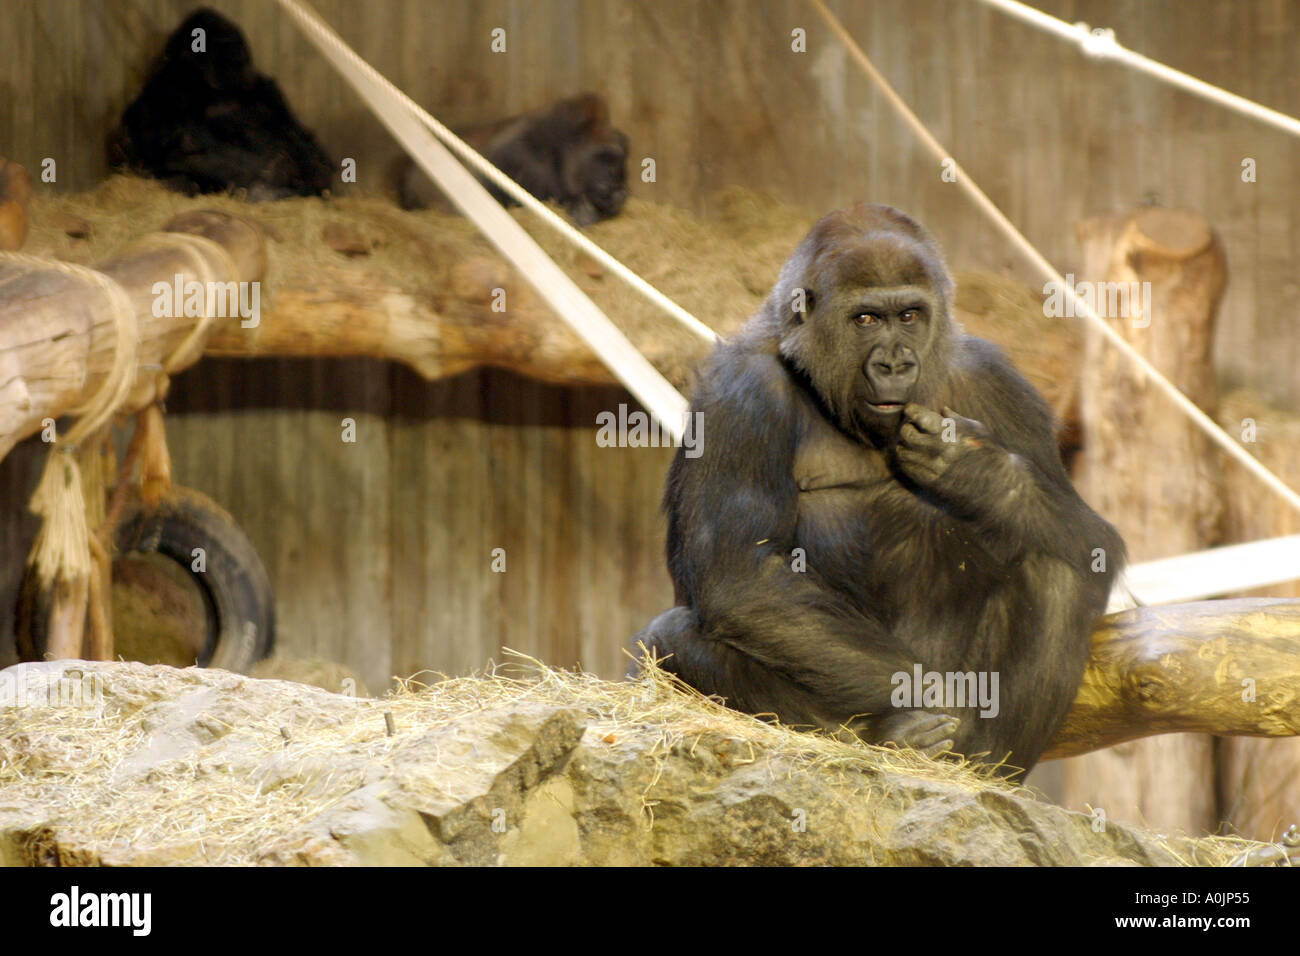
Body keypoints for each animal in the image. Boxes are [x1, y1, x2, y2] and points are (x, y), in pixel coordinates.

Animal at [634, 201, 1123, 780]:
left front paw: (981, 474)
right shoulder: (741, 390)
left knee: (1058, 566)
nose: (895, 364)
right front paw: (931, 697)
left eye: (909, 316)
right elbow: (742, 579)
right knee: (673, 636)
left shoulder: (995, 381)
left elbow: (1091, 539)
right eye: (866, 319)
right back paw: (882, 735)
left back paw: (983, 761)